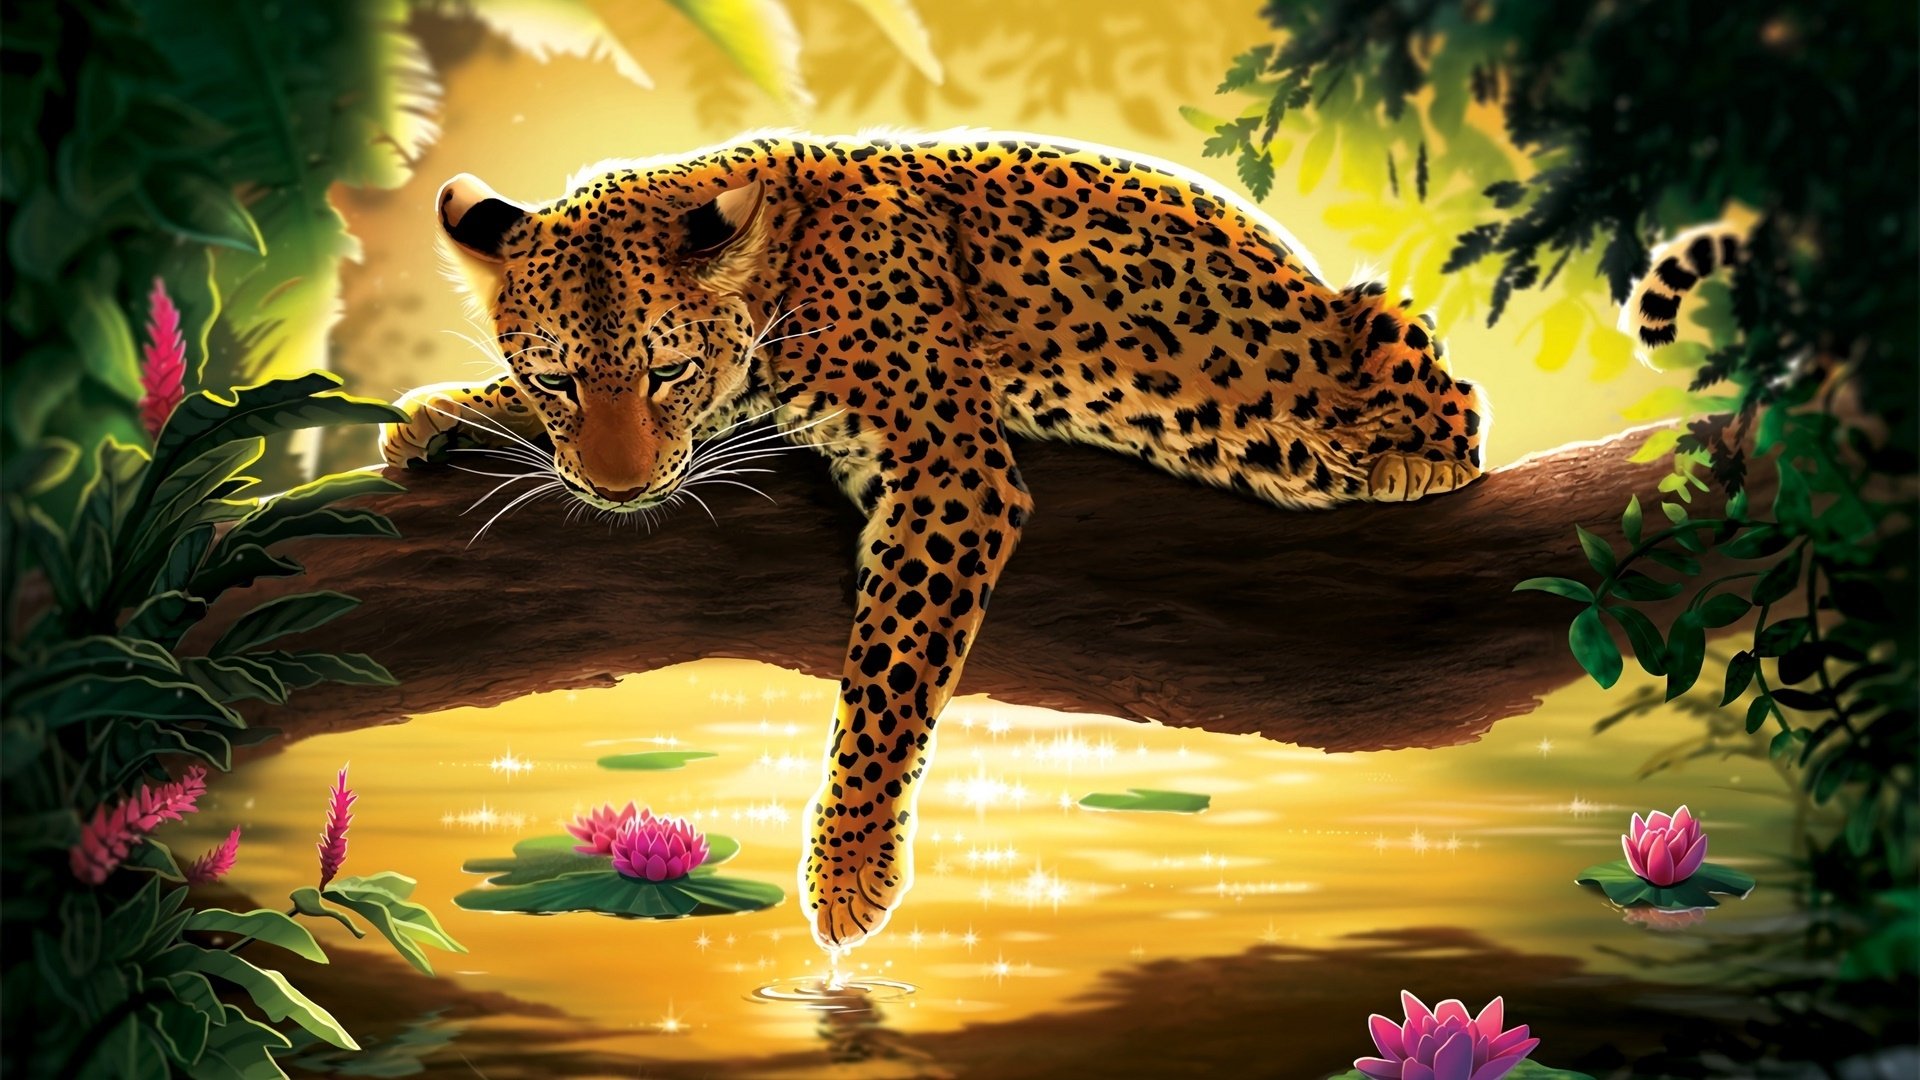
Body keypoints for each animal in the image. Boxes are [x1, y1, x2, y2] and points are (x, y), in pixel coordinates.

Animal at [382, 129, 1491, 953]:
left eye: (668, 371)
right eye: (556, 380)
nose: (619, 488)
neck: (782, 278)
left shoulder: (946, 469)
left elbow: (889, 679)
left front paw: (847, 870)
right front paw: (446, 411)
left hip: (1365, 350)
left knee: (1453, 398)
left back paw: (1413, 458)